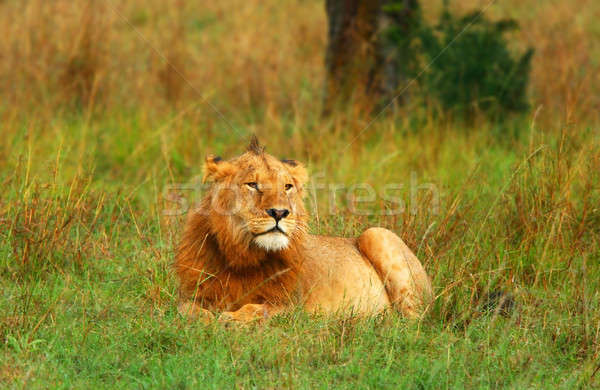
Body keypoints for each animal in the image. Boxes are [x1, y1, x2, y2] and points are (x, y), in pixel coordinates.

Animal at [173, 137, 432, 322]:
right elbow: (188, 311)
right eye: (252, 184)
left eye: (287, 186)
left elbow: (256, 309)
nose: (279, 213)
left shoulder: (291, 306)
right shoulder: (190, 295)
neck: (242, 254)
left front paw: (230, 319)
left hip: (377, 233)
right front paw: (207, 321)